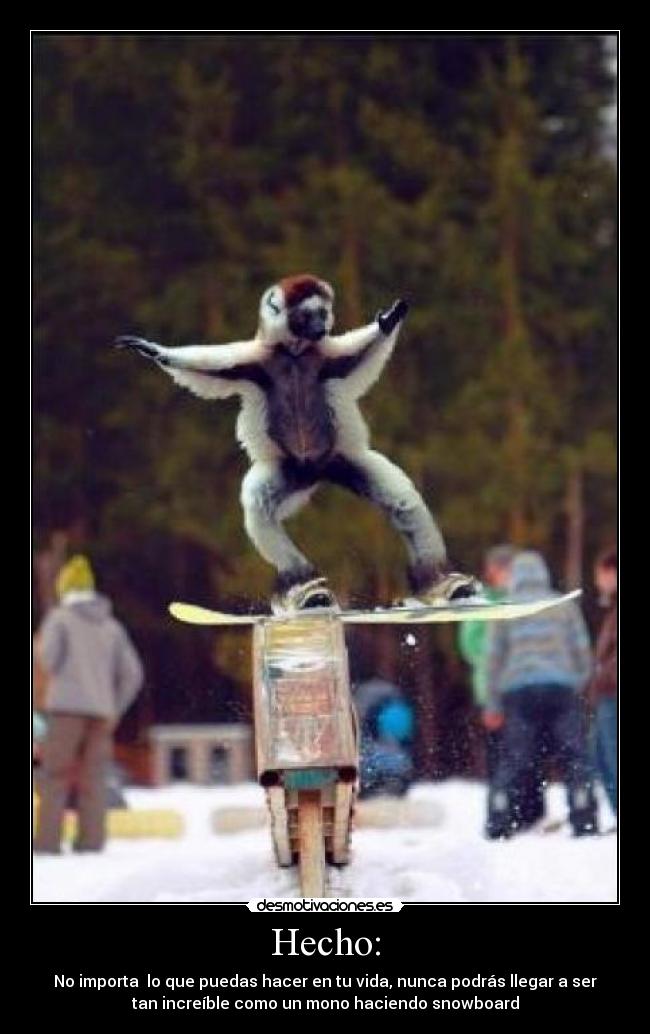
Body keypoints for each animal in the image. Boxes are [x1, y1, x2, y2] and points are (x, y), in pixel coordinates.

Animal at [115, 274, 480, 611]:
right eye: (309, 315)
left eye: (323, 313)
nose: (321, 326)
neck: (294, 354)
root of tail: (314, 473)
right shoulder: (254, 362)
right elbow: (207, 367)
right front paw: (157, 351)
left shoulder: (323, 358)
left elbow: (357, 355)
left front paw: (388, 323)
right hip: (290, 468)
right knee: (260, 506)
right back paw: (307, 588)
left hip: (339, 458)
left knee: (402, 504)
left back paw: (442, 584)